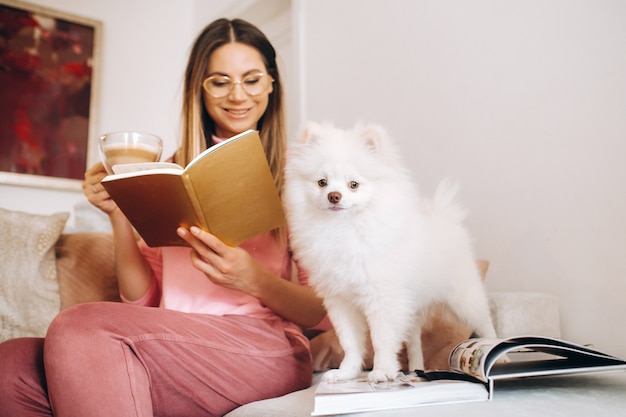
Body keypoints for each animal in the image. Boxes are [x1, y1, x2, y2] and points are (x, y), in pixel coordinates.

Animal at [282, 122, 498, 382]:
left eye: (354, 185)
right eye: (322, 182)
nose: (334, 196)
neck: (345, 228)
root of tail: (445, 216)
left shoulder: (382, 296)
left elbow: (381, 339)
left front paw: (382, 371)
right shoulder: (341, 301)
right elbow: (350, 342)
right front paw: (347, 372)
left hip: (463, 298)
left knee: (485, 324)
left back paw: (499, 355)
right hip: (411, 305)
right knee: (413, 341)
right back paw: (416, 369)